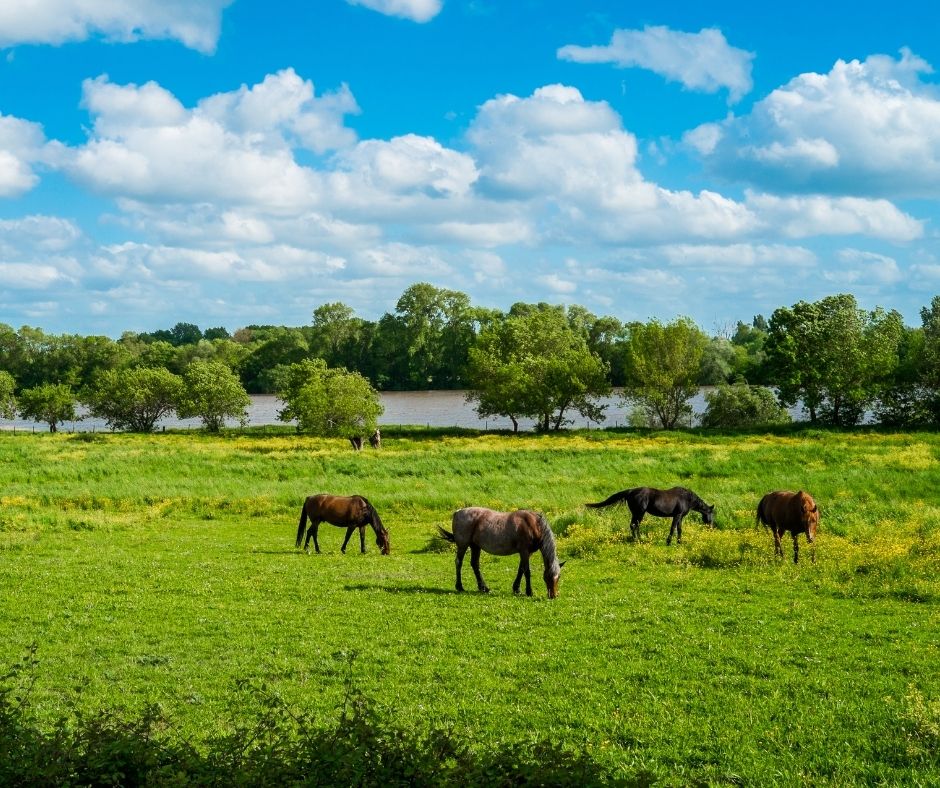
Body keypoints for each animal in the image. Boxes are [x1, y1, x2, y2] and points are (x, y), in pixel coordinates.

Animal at [584, 484, 716, 544]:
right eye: (712, 515)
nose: (710, 528)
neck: (687, 498)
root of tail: (631, 491)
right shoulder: (677, 515)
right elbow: (673, 528)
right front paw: (668, 542)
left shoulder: (680, 517)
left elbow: (679, 529)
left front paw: (679, 542)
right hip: (639, 513)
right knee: (635, 525)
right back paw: (638, 540)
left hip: (636, 513)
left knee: (633, 525)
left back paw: (635, 539)